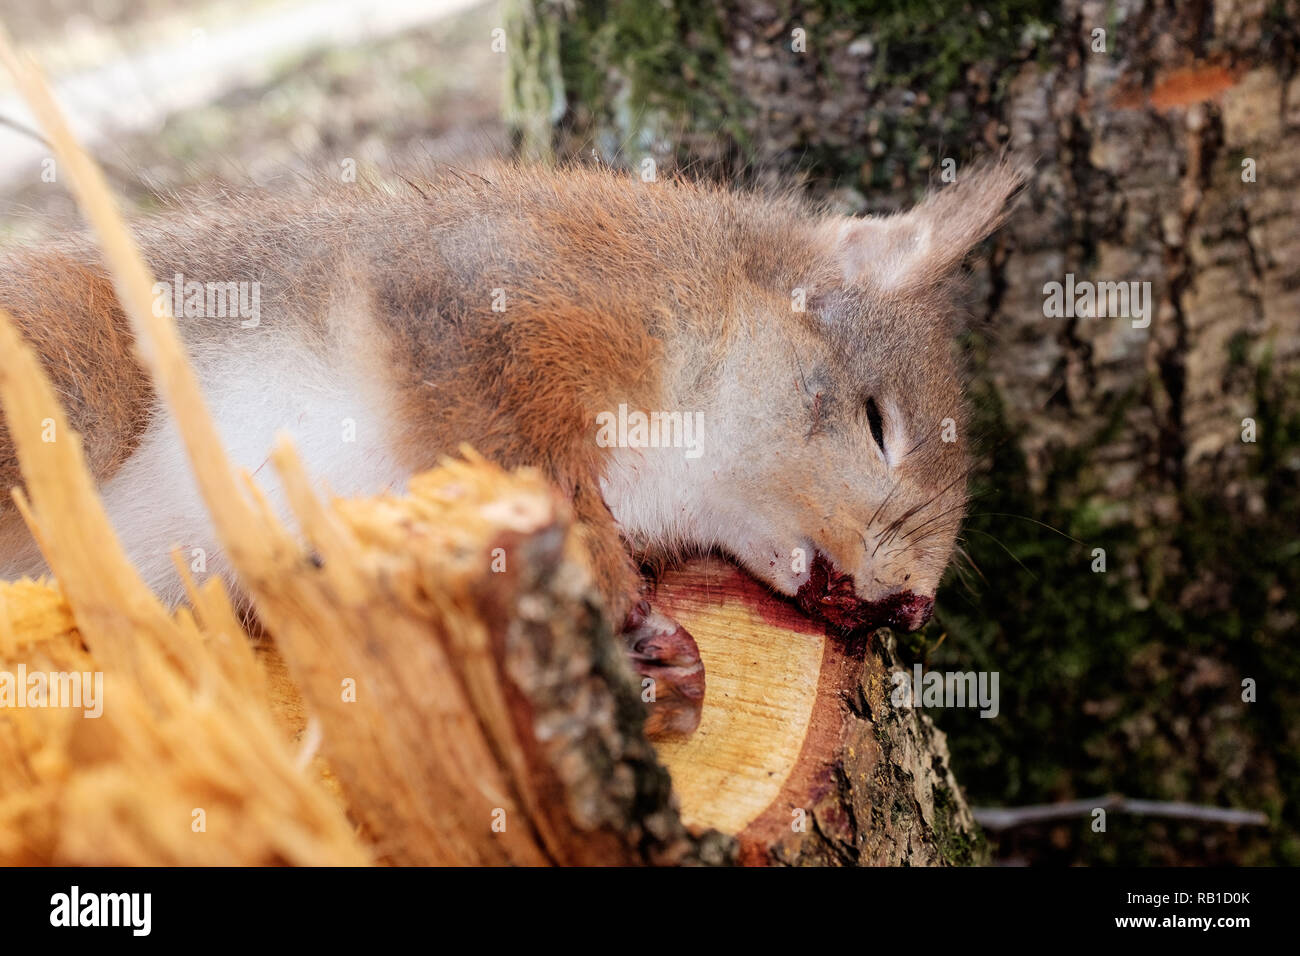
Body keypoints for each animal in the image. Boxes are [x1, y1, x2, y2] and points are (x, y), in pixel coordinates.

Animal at [0, 160, 1024, 738]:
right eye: (877, 422)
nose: (914, 609)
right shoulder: (489, 309)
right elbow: (519, 450)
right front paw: (621, 604)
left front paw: (662, 677)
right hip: (71, 388)